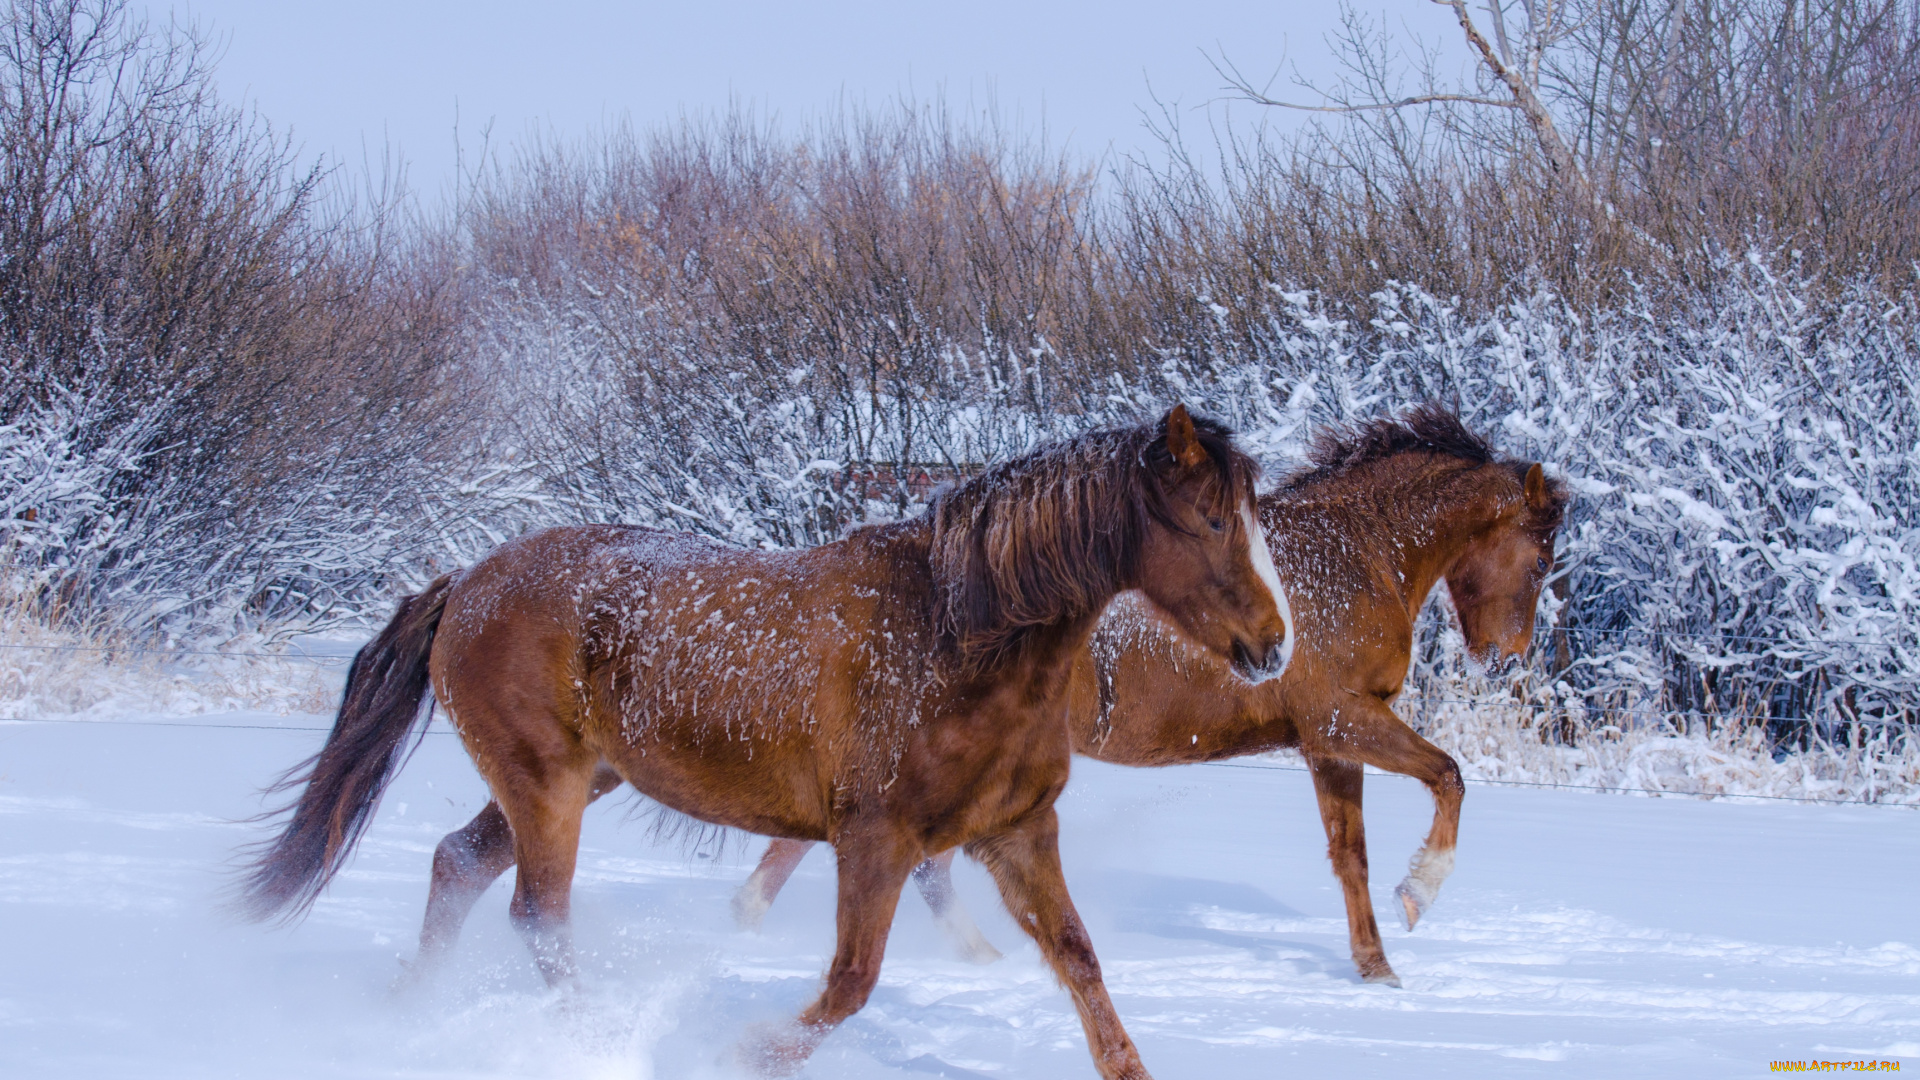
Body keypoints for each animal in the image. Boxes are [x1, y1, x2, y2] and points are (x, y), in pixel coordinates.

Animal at [240, 405, 1290, 1076]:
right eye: (1208, 520)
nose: (1273, 646)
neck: (953, 635)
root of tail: (465, 581)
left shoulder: (1016, 834)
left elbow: (1081, 963)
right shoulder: (875, 842)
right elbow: (850, 985)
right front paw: (743, 1051)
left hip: (569, 784)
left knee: (458, 866)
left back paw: (407, 1009)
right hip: (545, 786)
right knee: (537, 916)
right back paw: (585, 1042)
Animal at [729, 403, 1559, 983]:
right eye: (1541, 554)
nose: (1505, 656)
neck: (1354, 557)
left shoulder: (1326, 747)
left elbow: (1350, 855)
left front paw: (1377, 968)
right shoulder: (1344, 720)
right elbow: (1448, 776)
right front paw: (1418, 893)